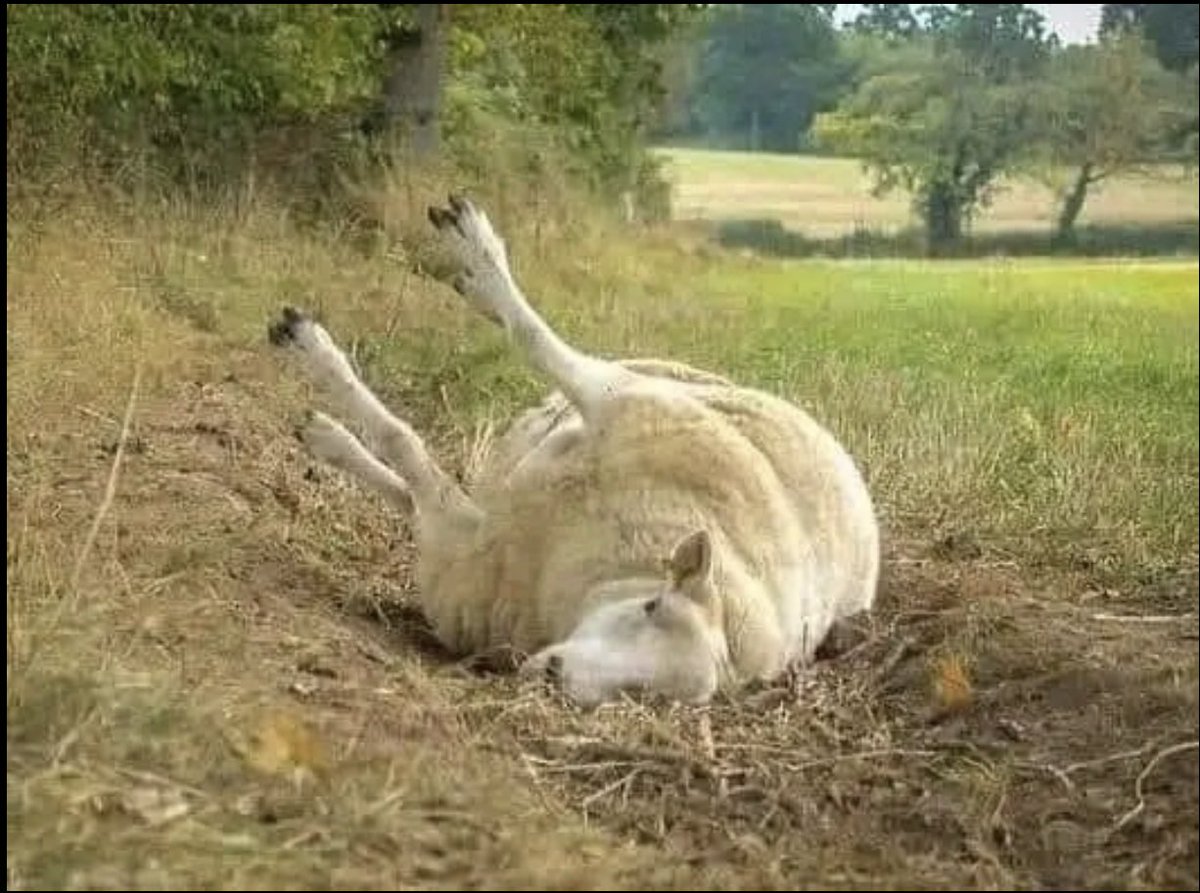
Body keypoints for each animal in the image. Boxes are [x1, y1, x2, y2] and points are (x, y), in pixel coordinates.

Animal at [267, 193, 878, 705]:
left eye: (646, 697)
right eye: (653, 607)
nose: (555, 674)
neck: (620, 571)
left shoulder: (463, 562)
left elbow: (411, 458)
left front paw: (327, 406)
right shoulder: (618, 407)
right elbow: (523, 348)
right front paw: (314, 350)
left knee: (423, 491)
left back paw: (328, 432)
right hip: (634, 389)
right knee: (547, 344)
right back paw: (475, 256)